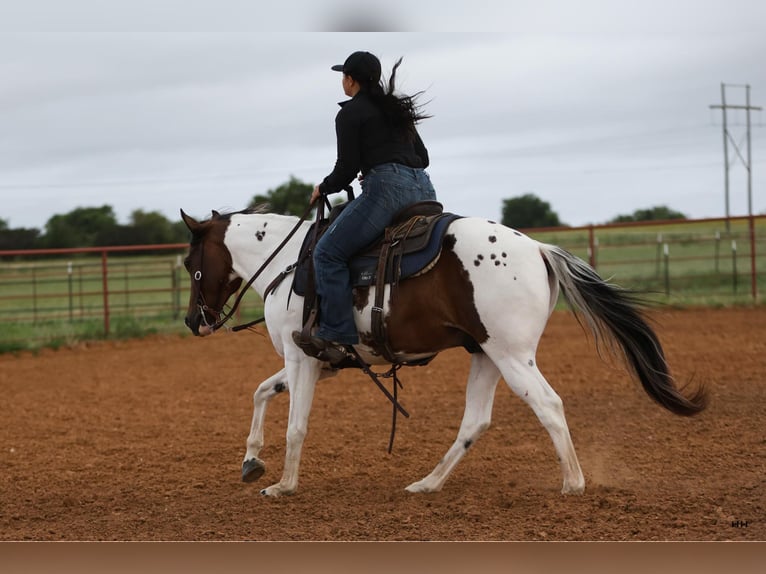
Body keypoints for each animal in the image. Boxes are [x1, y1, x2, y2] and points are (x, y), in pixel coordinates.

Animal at [180, 206, 707, 497]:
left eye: (190, 263)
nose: (192, 321)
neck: (291, 265)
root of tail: (539, 249)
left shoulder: (302, 358)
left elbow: (295, 425)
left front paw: (283, 485)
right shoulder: (323, 363)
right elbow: (261, 391)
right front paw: (251, 461)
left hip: (512, 356)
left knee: (548, 405)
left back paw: (573, 483)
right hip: (487, 355)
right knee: (475, 422)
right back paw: (427, 483)